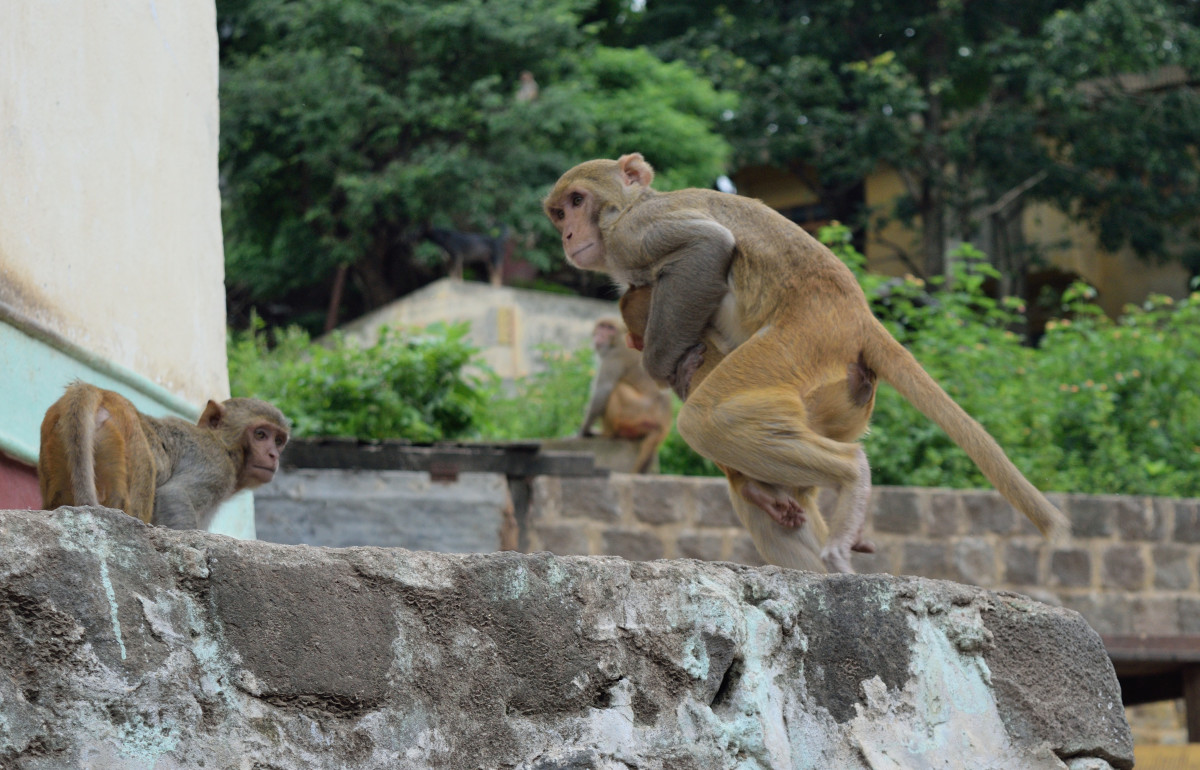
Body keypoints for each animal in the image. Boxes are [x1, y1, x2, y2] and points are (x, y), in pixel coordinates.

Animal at [37, 381, 290, 530]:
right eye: (260, 435)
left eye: (278, 441)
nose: (273, 455)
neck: (226, 446)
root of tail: (101, 393)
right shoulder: (217, 467)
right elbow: (173, 494)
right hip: (126, 449)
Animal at [580, 314, 676, 470]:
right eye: (601, 326)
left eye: (610, 328)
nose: (601, 334)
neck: (617, 340)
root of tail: (664, 424)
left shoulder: (614, 355)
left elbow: (604, 390)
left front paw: (583, 431)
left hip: (637, 413)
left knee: (616, 389)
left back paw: (608, 435)